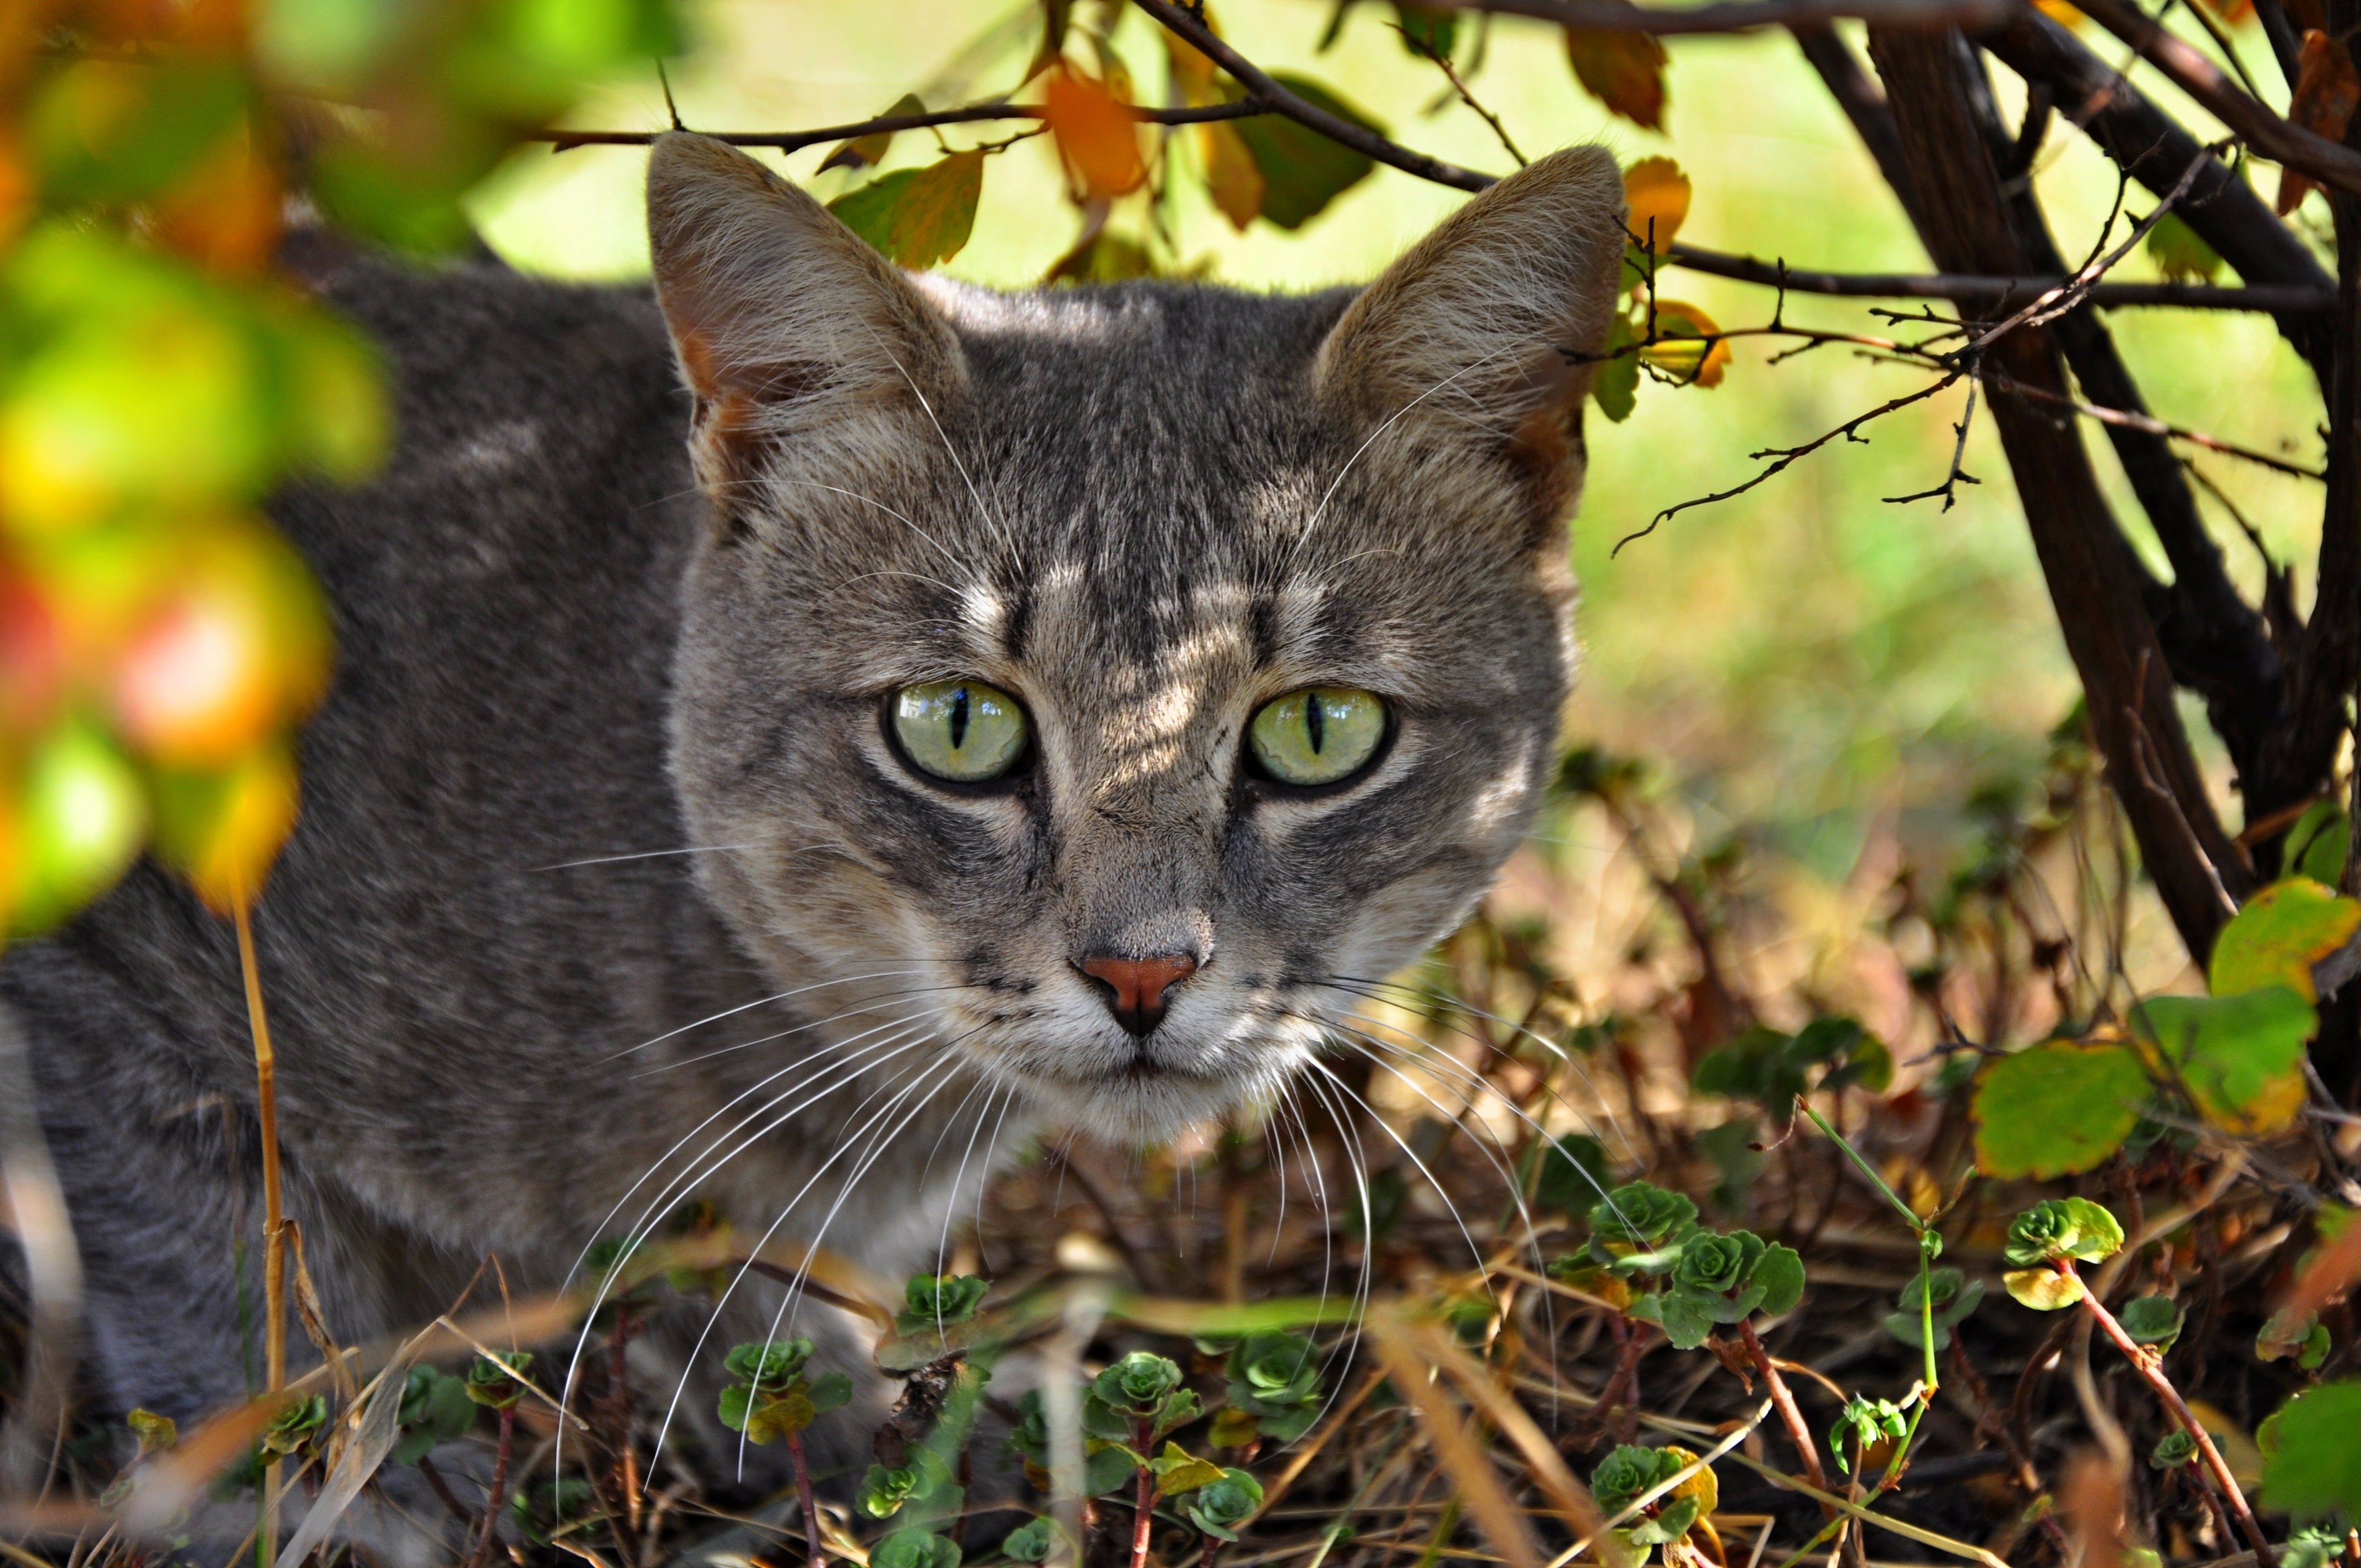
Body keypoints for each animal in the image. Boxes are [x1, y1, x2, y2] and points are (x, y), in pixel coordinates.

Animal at [0, 128, 1624, 1492]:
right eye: (956, 724)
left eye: (1317, 728)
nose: (1141, 969)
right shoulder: (110, 973)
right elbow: (236, 1306)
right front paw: (339, 1490)